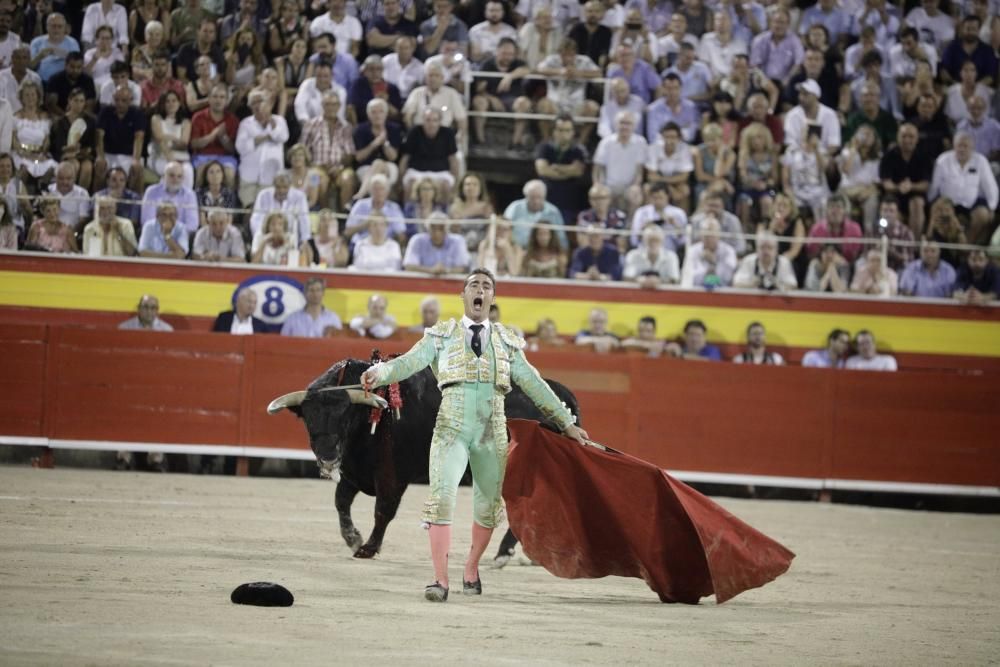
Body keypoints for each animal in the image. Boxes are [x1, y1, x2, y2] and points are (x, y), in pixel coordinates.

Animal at [268, 360, 580, 560]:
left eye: (344, 415)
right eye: (308, 418)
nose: (328, 456)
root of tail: (557, 394)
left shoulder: (392, 475)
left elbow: (383, 510)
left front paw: (368, 548)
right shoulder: (355, 472)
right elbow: (341, 501)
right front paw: (352, 537)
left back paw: (510, 553)